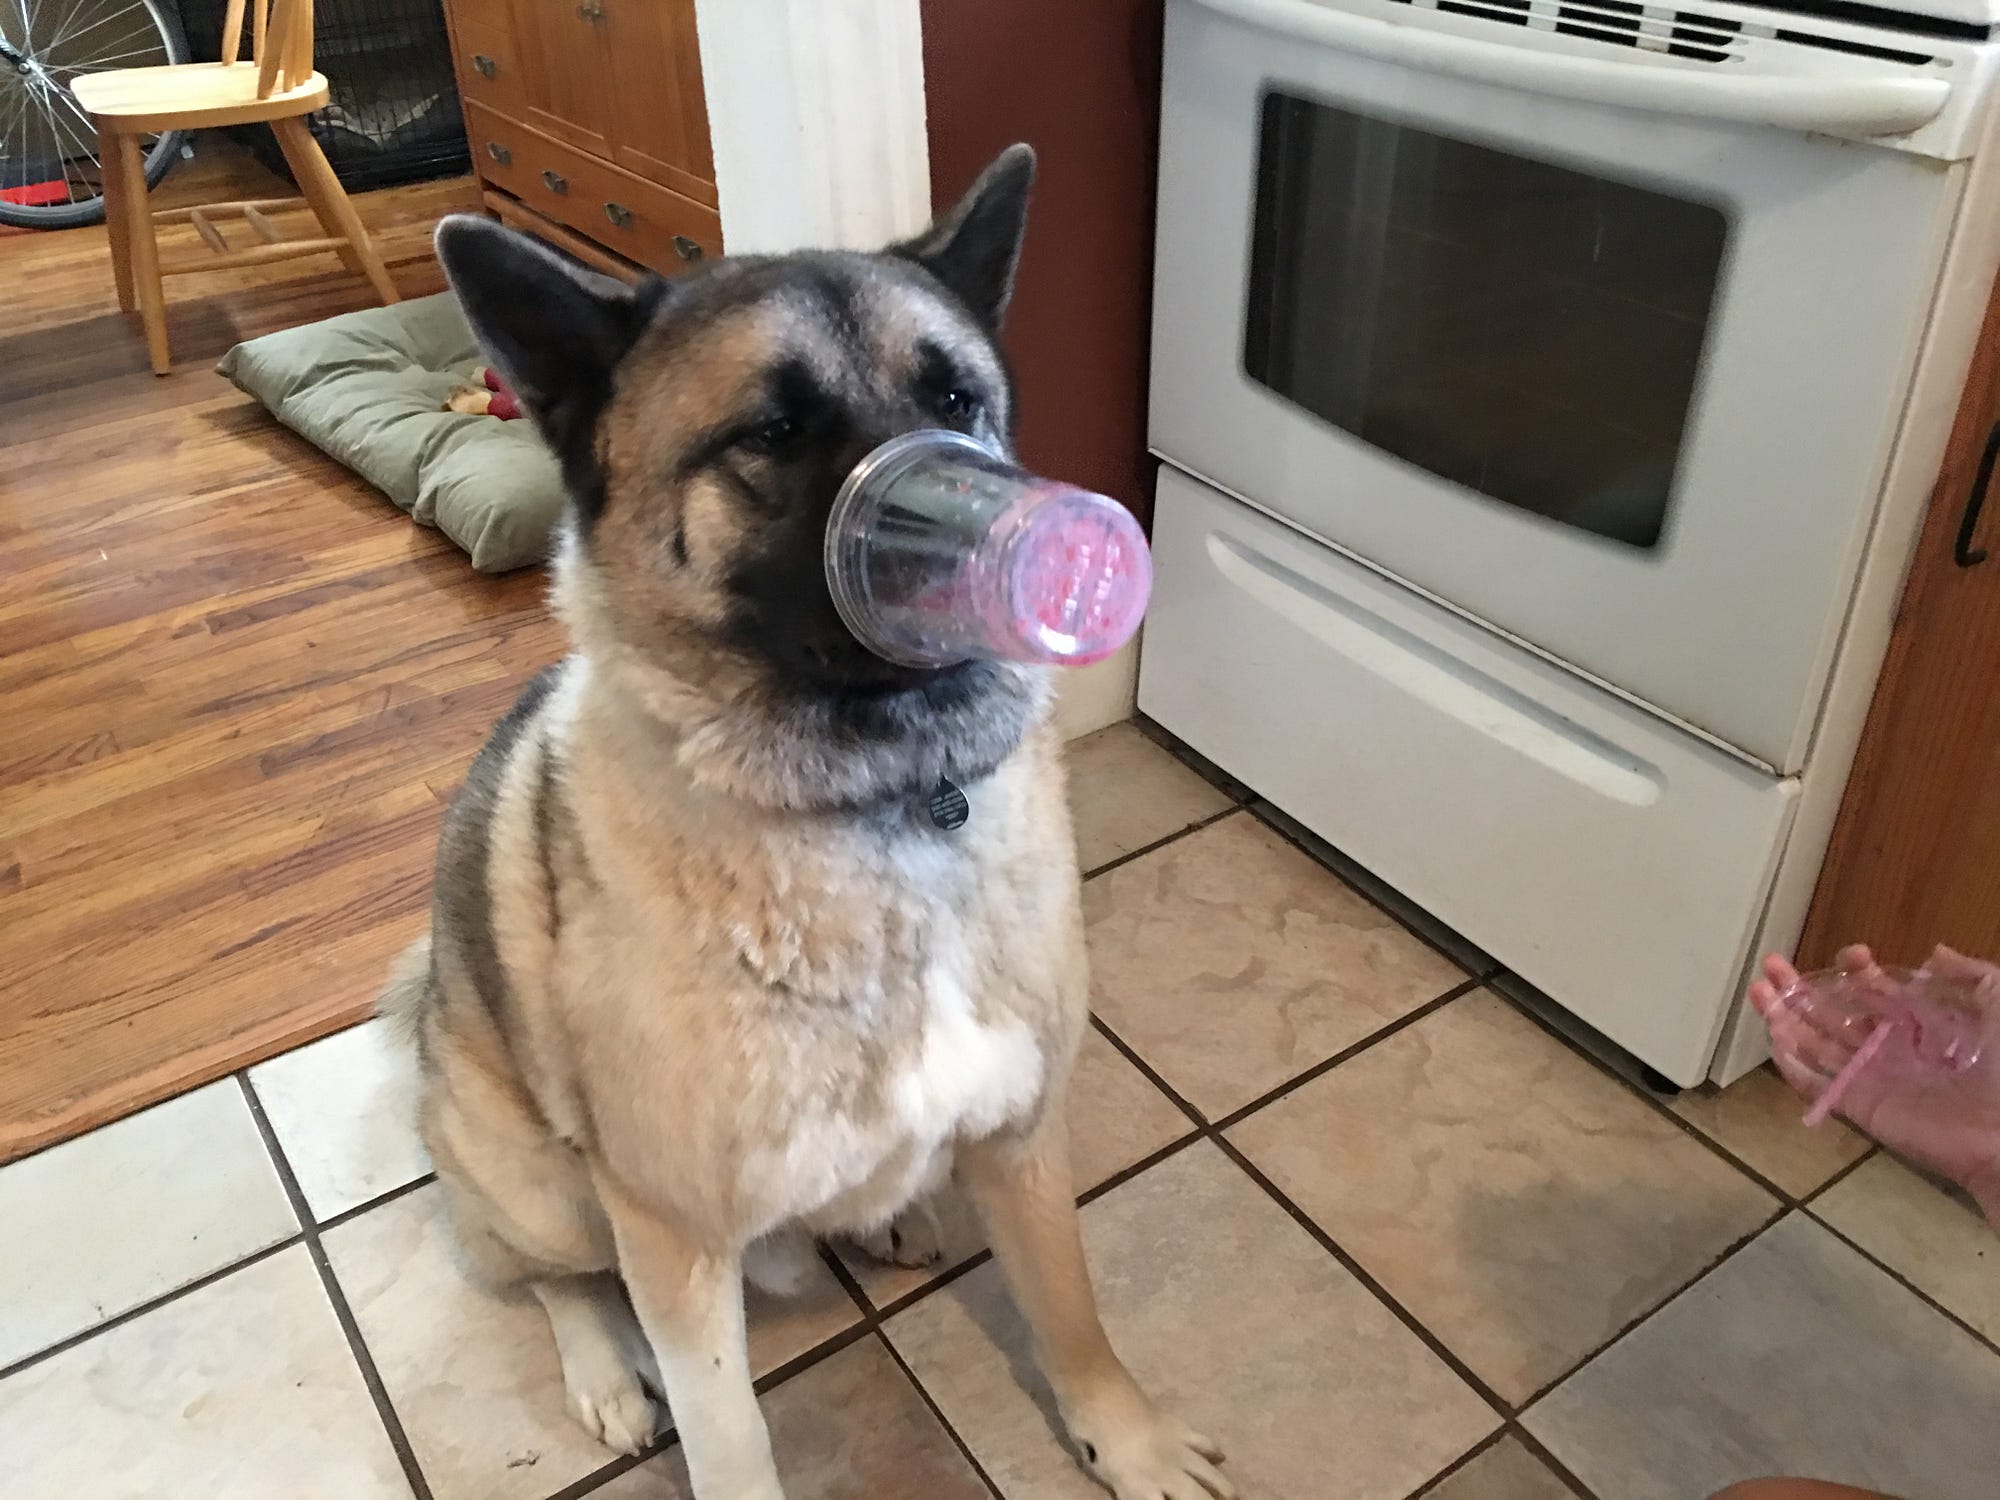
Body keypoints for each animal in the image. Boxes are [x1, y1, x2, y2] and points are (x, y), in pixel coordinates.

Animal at [382, 145, 1232, 1500]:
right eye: (773, 433)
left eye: (959, 399)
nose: (1043, 529)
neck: (882, 808)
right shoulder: (672, 1245)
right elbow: (729, 1434)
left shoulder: (1023, 1136)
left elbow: (1070, 1309)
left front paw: (1126, 1433)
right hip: (539, 1184)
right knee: (553, 1276)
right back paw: (601, 1370)